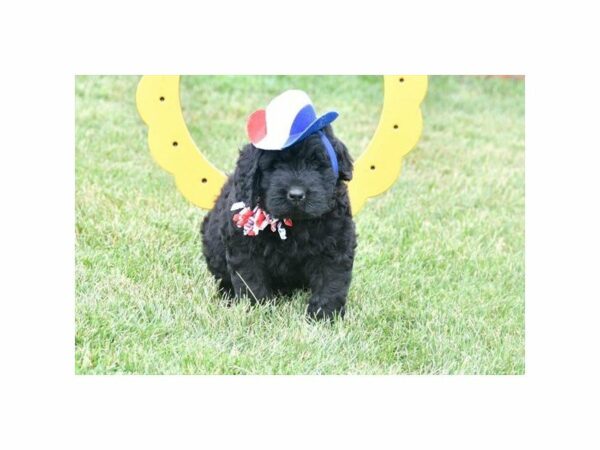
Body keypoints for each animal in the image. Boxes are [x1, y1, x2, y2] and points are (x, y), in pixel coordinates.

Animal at [202, 125, 356, 318]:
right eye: (274, 166)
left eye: (316, 164)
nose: (296, 195)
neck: (293, 223)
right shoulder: (243, 247)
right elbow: (251, 281)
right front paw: (257, 310)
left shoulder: (336, 242)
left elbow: (331, 281)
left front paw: (324, 316)